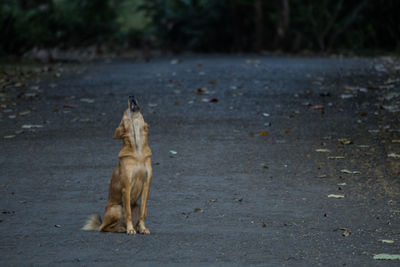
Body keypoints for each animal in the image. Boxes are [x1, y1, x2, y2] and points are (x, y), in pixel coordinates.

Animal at [83, 96, 152, 234]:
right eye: (125, 111)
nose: (131, 96)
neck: (138, 150)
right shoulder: (127, 187)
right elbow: (128, 213)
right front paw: (130, 230)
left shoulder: (146, 185)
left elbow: (143, 213)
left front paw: (143, 228)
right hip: (117, 208)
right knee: (105, 228)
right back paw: (122, 228)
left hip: (134, 206)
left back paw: (132, 227)